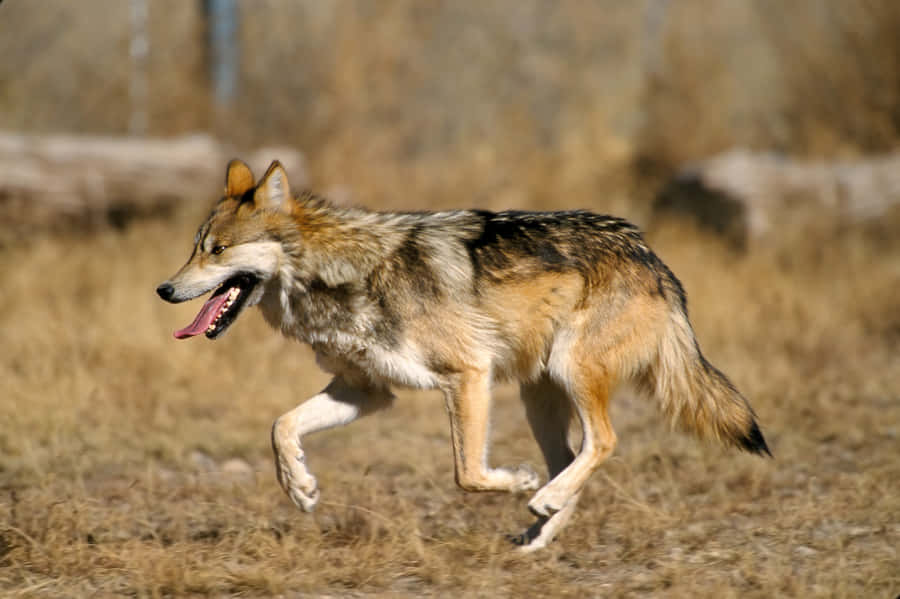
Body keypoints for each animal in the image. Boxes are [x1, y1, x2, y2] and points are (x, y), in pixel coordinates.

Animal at [157, 159, 770, 551]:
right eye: (194, 248)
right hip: (538, 397)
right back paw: (539, 532)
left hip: (569, 373)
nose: (163, 289)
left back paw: (540, 499)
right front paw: (300, 488)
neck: (341, 274)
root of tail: (651, 256)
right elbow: (281, 427)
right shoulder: (366, 391)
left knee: (603, 443)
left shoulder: (467, 374)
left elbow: (468, 474)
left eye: (218, 250)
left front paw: (516, 482)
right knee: (572, 458)